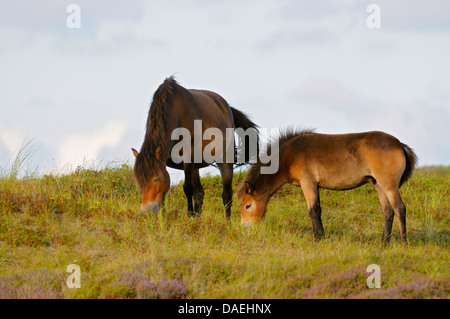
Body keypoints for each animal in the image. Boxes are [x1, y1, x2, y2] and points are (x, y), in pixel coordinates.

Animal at [132, 76, 258, 219]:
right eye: (139, 181)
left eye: (156, 179)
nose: (146, 210)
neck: (177, 117)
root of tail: (226, 107)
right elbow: (165, 194)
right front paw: (163, 217)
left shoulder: (188, 158)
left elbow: (187, 188)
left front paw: (189, 215)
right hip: (196, 166)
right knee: (199, 193)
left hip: (224, 160)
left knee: (226, 195)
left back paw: (227, 221)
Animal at [236, 129, 418, 244]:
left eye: (247, 205)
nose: (245, 229)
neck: (289, 156)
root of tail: (400, 144)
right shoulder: (315, 186)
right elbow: (318, 210)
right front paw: (321, 236)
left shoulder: (308, 183)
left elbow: (313, 211)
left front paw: (318, 238)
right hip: (378, 185)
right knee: (388, 211)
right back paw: (384, 242)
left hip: (389, 186)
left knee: (400, 208)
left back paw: (403, 242)